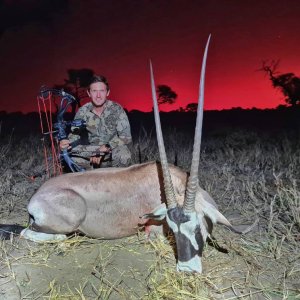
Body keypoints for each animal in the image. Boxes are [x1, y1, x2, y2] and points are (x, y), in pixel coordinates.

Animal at [1, 36, 256, 274]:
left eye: (197, 227)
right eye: (173, 230)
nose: (187, 268)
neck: (174, 183)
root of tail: (36, 198)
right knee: (29, 233)